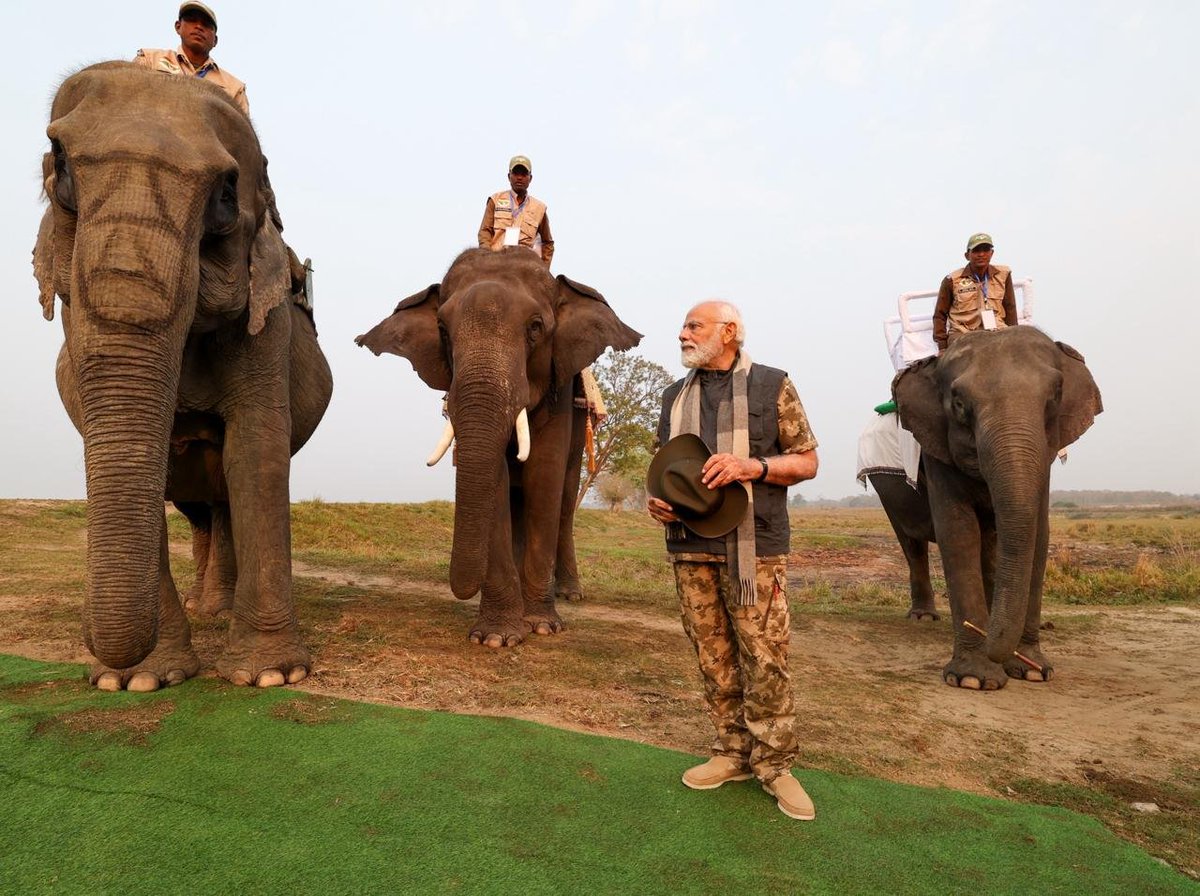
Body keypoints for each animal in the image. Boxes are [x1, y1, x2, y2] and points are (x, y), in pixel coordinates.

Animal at [34, 62, 333, 695]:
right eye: (60, 167)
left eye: (225, 194)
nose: (88, 632)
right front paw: (135, 682)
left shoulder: (266, 319)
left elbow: (255, 452)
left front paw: (270, 676)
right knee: (198, 506)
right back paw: (205, 609)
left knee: (222, 498)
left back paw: (220, 610)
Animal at [352, 248, 638, 647]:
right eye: (443, 330)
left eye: (535, 328)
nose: (461, 588)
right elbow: (497, 485)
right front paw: (496, 637)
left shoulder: (560, 391)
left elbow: (543, 479)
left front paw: (542, 626)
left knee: (565, 502)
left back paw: (569, 594)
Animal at [897, 326, 1099, 690]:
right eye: (958, 404)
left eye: (1055, 395)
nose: (993, 644)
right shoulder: (936, 447)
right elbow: (958, 531)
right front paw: (973, 679)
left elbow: (1038, 534)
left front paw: (1033, 671)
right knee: (912, 543)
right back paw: (923, 618)